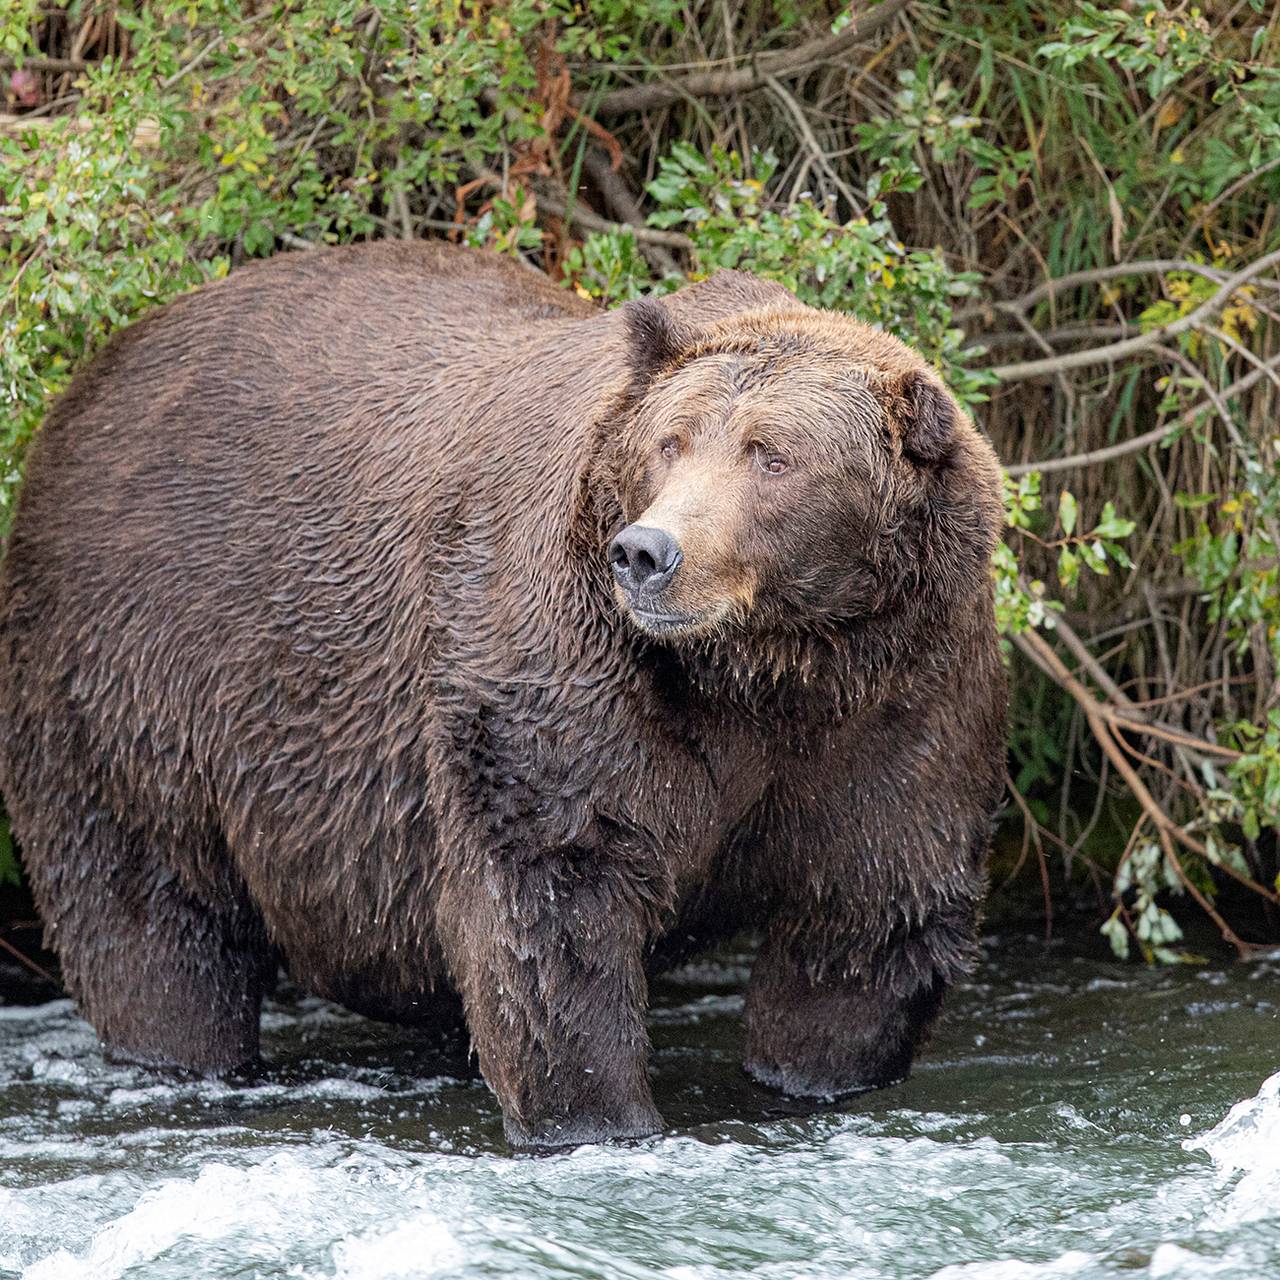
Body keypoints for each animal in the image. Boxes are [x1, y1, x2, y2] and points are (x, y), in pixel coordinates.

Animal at [0, 240, 1003, 1152]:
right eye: (671, 442)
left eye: (774, 455)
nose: (648, 553)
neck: (769, 672)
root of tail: (87, 384)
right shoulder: (567, 672)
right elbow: (554, 904)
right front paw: (600, 1121)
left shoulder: (903, 702)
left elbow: (868, 915)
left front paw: (810, 1076)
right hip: (133, 680)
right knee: (149, 918)